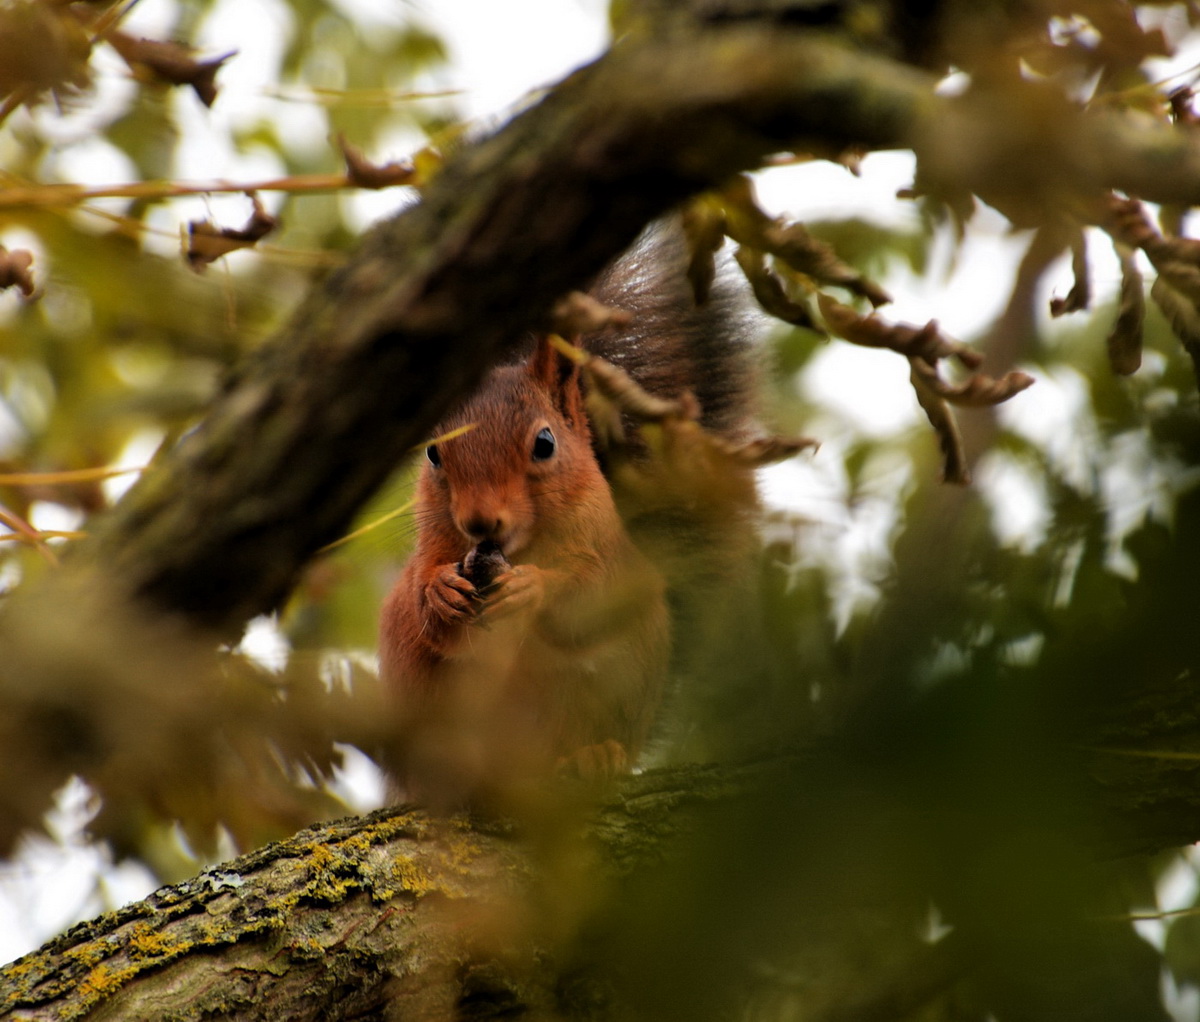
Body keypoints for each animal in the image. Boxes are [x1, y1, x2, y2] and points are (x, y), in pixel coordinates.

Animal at [378, 225, 776, 806]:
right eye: (432, 453)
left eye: (545, 443)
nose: (480, 522)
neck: (522, 546)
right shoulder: (431, 550)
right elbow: (425, 609)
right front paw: (440, 592)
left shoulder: (611, 556)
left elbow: (589, 602)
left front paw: (533, 588)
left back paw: (594, 758)